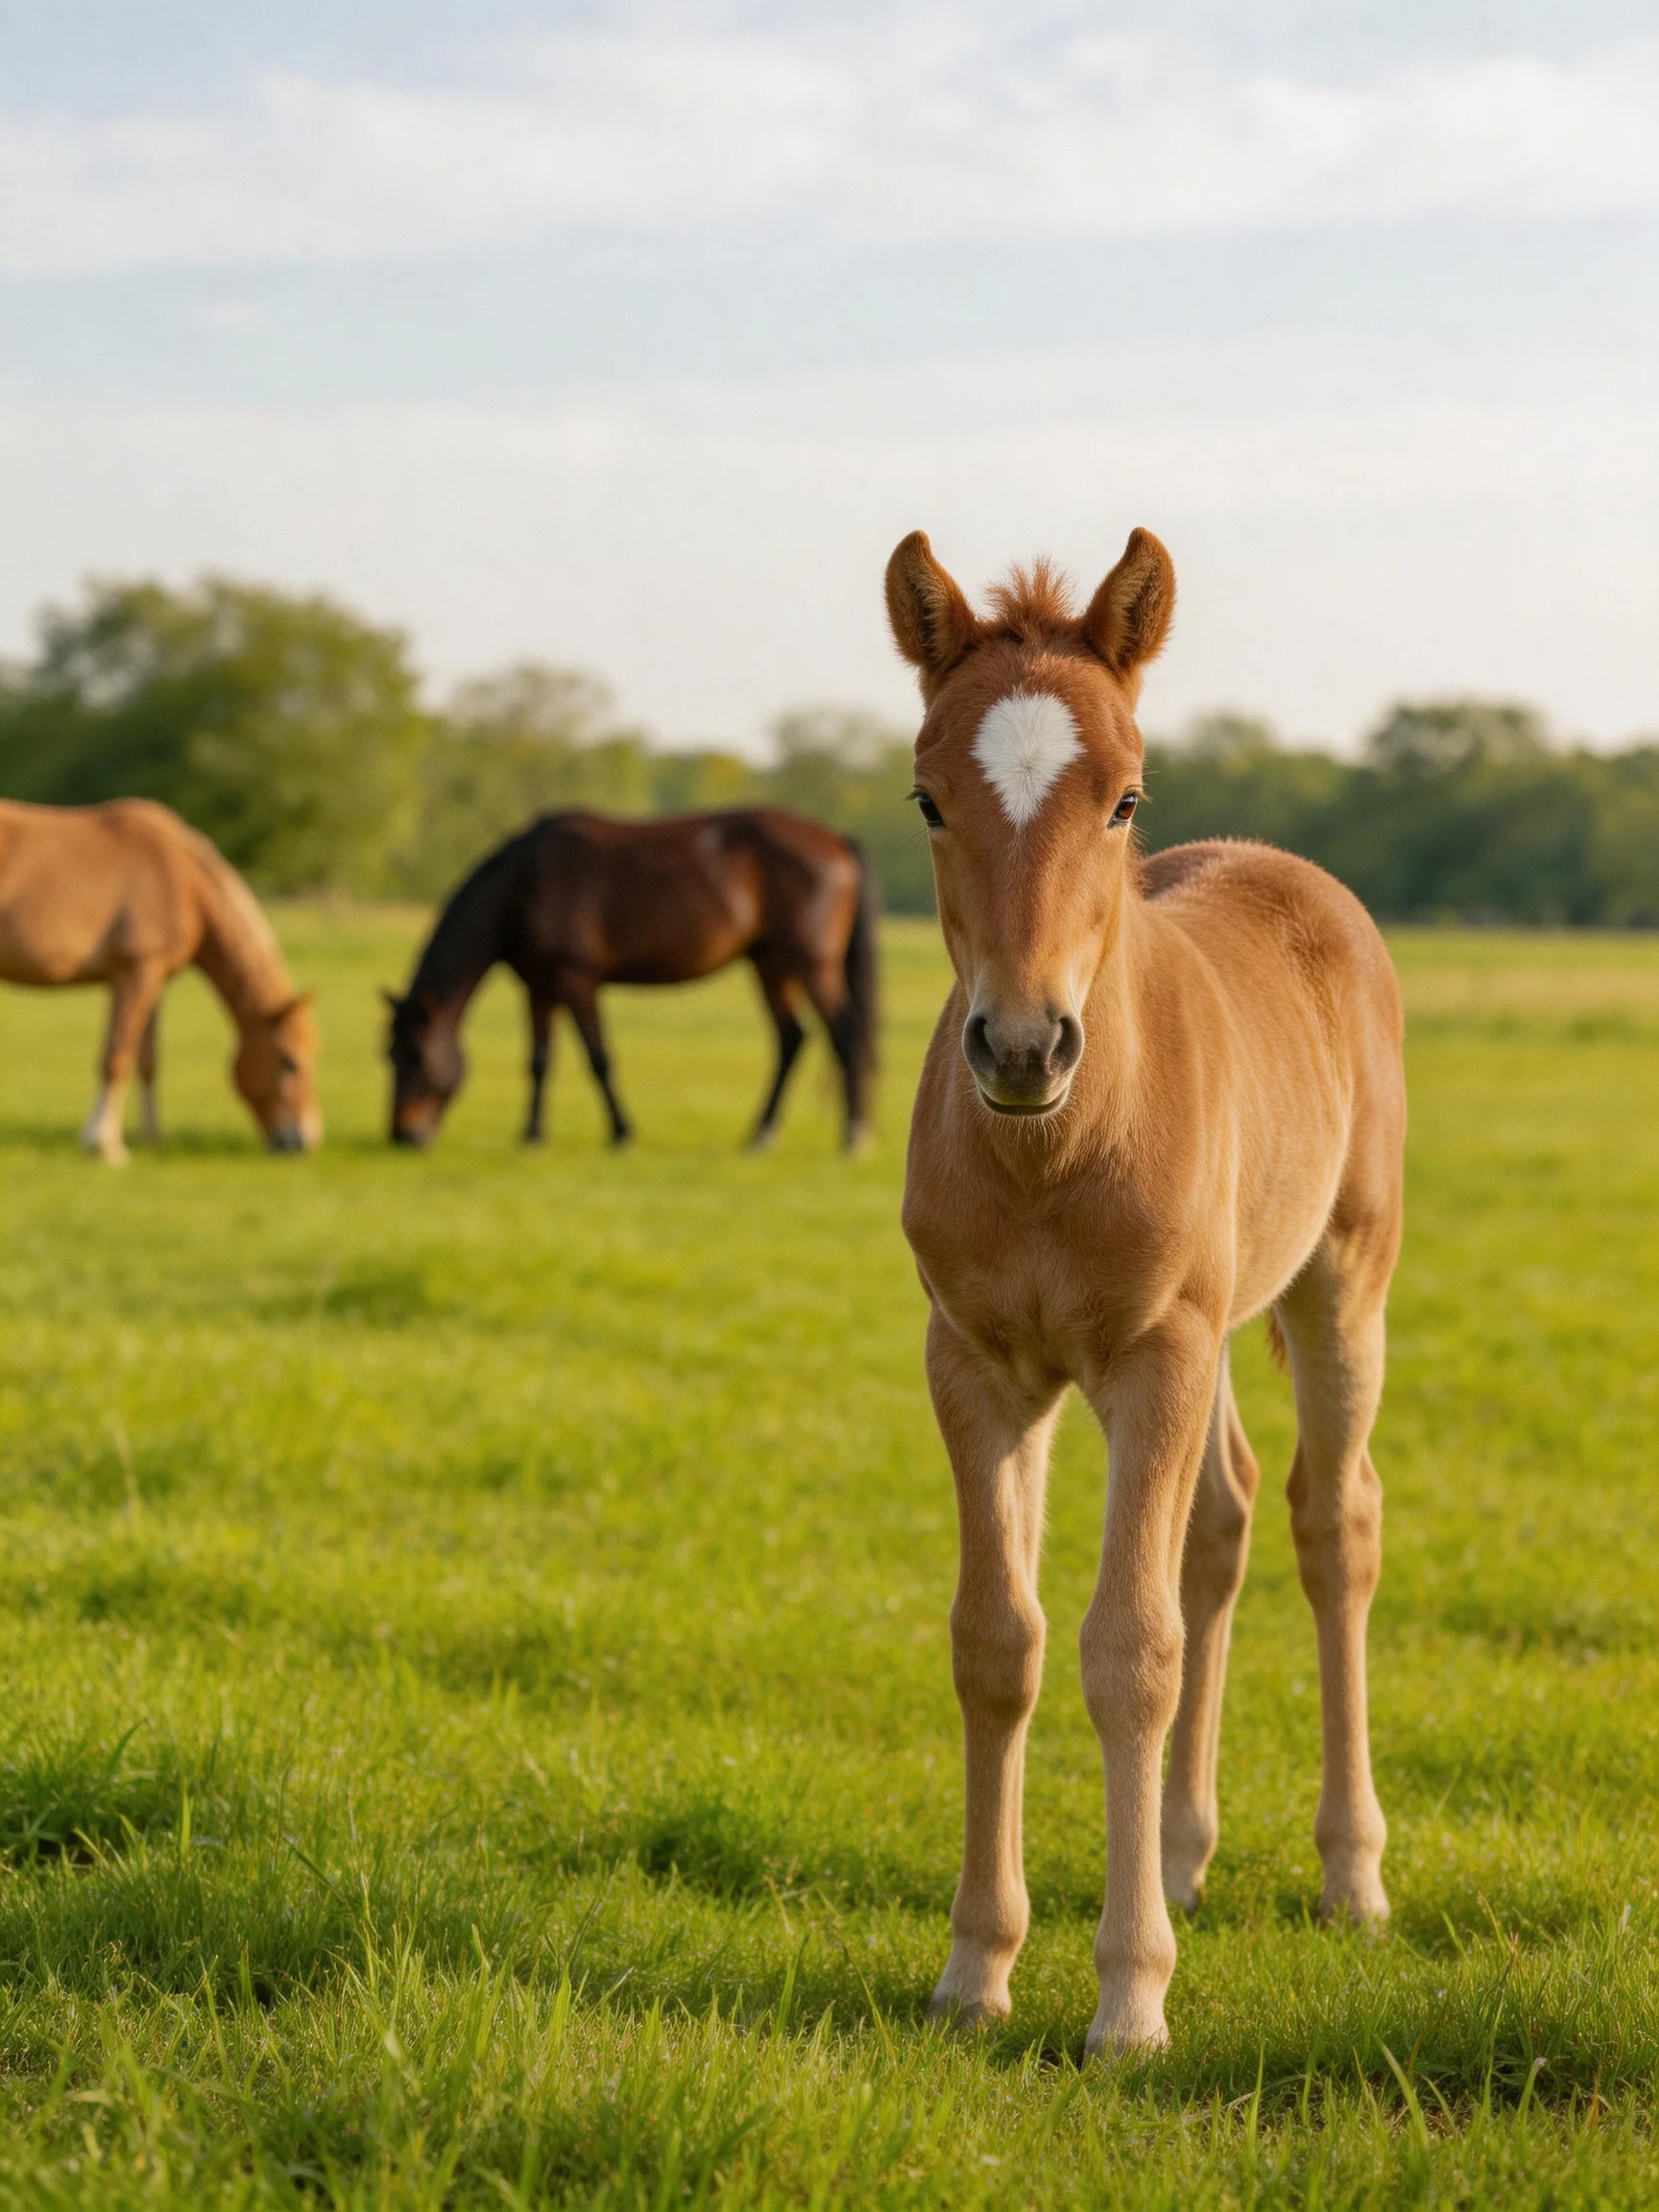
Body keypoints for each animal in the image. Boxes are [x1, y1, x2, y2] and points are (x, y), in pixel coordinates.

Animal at [0, 798, 322, 1163]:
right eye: (289, 1062)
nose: (304, 1141)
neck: (185, 883)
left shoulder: (152, 982)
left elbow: (147, 1060)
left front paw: (151, 1138)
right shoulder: (137, 974)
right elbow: (117, 1057)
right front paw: (105, 1145)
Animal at [385, 807, 878, 1152]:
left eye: (416, 1056)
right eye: (387, 1055)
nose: (402, 1136)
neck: (523, 885)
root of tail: (836, 840)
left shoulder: (577, 981)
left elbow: (598, 1058)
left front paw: (621, 1133)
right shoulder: (539, 988)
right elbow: (539, 1061)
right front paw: (532, 1135)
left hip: (813, 965)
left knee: (846, 1034)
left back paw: (853, 1137)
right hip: (772, 965)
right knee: (791, 1040)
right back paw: (761, 1134)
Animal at [887, 526, 1405, 2055]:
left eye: (1123, 798)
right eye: (927, 796)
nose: (1020, 1044)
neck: (1060, 1147)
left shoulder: (1153, 1357)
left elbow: (1131, 1651)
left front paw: (1128, 2002)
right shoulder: (979, 1366)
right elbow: (998, 1642)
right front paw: (976, 1971)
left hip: (1339, 1279)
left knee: (1332, 1522)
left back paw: (1351, 1874)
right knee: (1222, 1519)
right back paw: (1179, 1851)